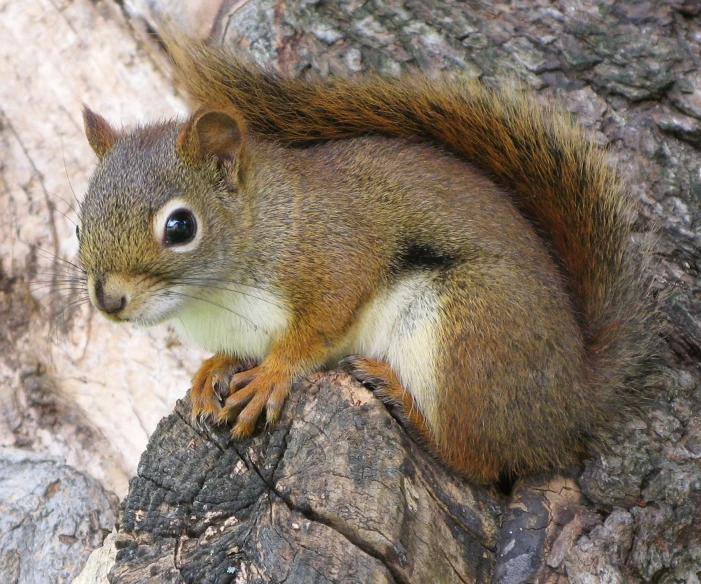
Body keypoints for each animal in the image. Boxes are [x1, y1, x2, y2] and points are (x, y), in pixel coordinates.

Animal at [74, 34, 652, 486]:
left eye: (181, 227)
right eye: (79, 223)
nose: (108, 301)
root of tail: (573, 398)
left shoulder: (335, 256)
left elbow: (320, 326)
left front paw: (269, 376)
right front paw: (209, 371)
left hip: (469, 335)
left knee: (480, 462)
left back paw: (401, 399)